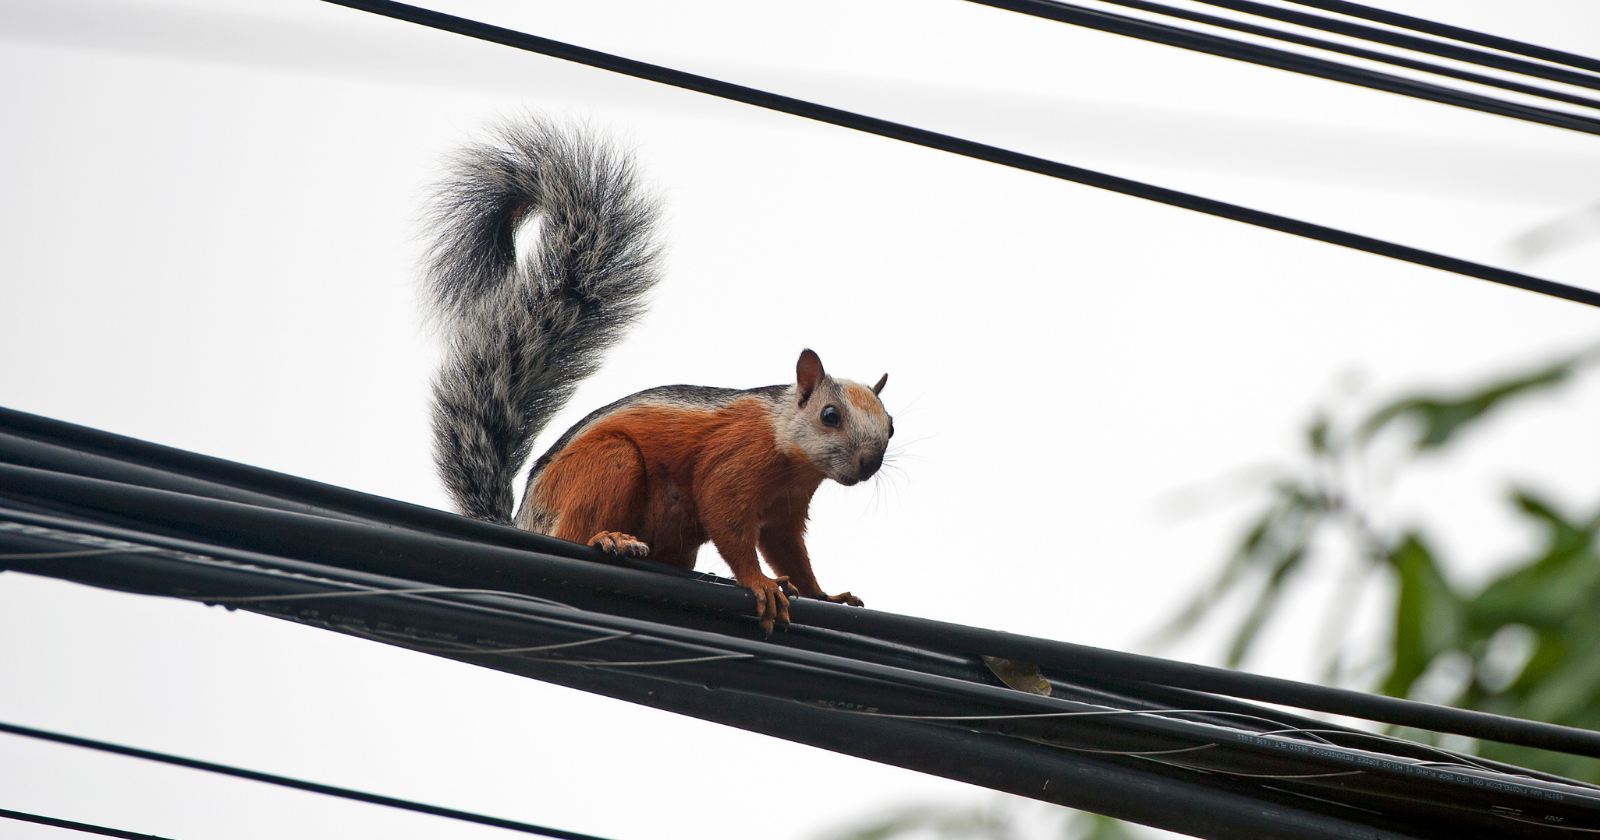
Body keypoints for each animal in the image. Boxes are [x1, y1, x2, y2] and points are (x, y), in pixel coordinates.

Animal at [422, 119, 893, 633]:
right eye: (830, 415)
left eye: (891, 427)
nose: (869, 462)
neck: (788, 452)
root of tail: (526, 521)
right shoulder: (731, 462)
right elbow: (728, 523)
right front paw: (761, 584)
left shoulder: (786, 510)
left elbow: (789, 553)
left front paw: (825, 594)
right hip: (607, 463)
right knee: (574, 530)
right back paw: (609, 539)